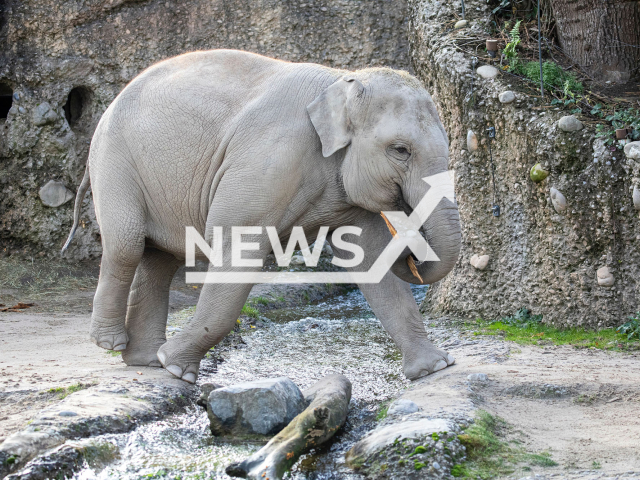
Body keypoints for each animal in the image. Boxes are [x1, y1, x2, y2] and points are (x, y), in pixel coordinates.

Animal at [63, 48, 460, 384]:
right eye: (401, 150)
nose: (411, 254)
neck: (341, 81)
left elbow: (371, 259)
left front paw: (433, 369)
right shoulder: (269, 162)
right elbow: (236, 250)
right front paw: (176, 368)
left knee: (160, 260)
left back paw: (145, 361)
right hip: (114, 162)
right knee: (127, 245)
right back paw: (114, 345)